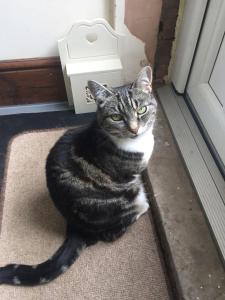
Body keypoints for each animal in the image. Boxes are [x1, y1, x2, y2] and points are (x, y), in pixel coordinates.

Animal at [0, 65, 156, 286]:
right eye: (116, 117)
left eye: (141, 110)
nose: (134, 129)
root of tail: (74, 227)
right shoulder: (131, 173)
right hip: (120, 203)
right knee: (113, 231)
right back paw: (141, 206)